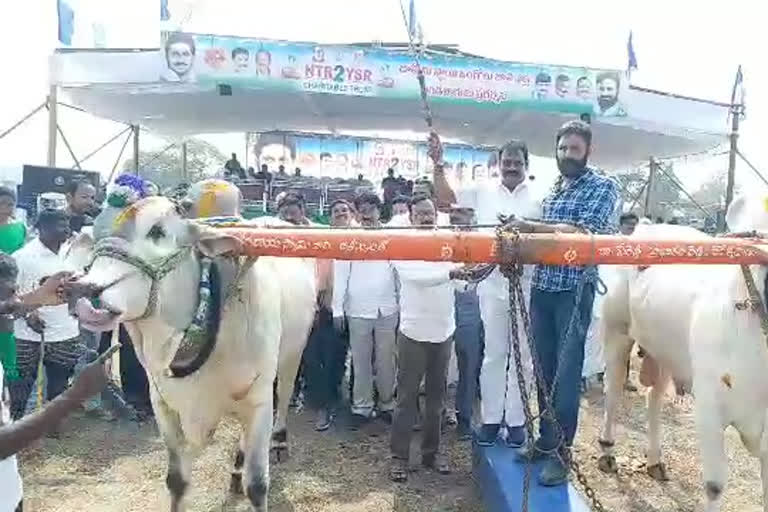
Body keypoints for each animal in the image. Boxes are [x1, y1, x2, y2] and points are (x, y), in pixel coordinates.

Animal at [70, 197, 316, 512]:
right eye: (97, 234)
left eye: (157, 231)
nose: (82, 292)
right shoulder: (163, 403)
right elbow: (176, 480)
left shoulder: (260, 402)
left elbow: (258, 485)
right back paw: (236, 468)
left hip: (293, 354)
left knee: (284, 395)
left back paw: (280, 441)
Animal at [604, 194, 768, 510]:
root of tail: (644, 228)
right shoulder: (709, 409)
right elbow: (715, 486)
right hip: (616, 330)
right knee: (613, 392)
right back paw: (606, 450)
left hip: (666, 352)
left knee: (653, 398)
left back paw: (655, 460)